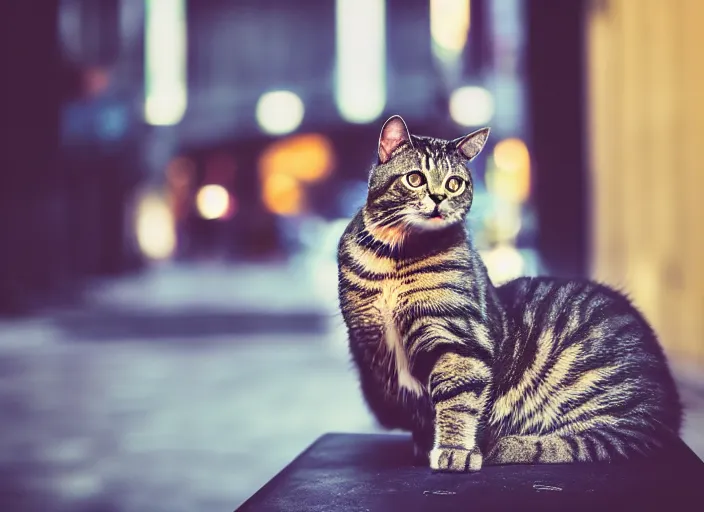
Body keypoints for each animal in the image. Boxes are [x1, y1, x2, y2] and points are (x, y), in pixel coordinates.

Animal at [336, 114, 680, 470]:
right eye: (415, 179)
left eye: (454, 184)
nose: (439, 198)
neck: (395, 257)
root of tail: (669, 409)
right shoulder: (368, 340)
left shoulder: (459, 340)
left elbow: (457, 402)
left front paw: (455, 450)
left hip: (605, 404)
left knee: (590, 443)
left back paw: (504, 446)